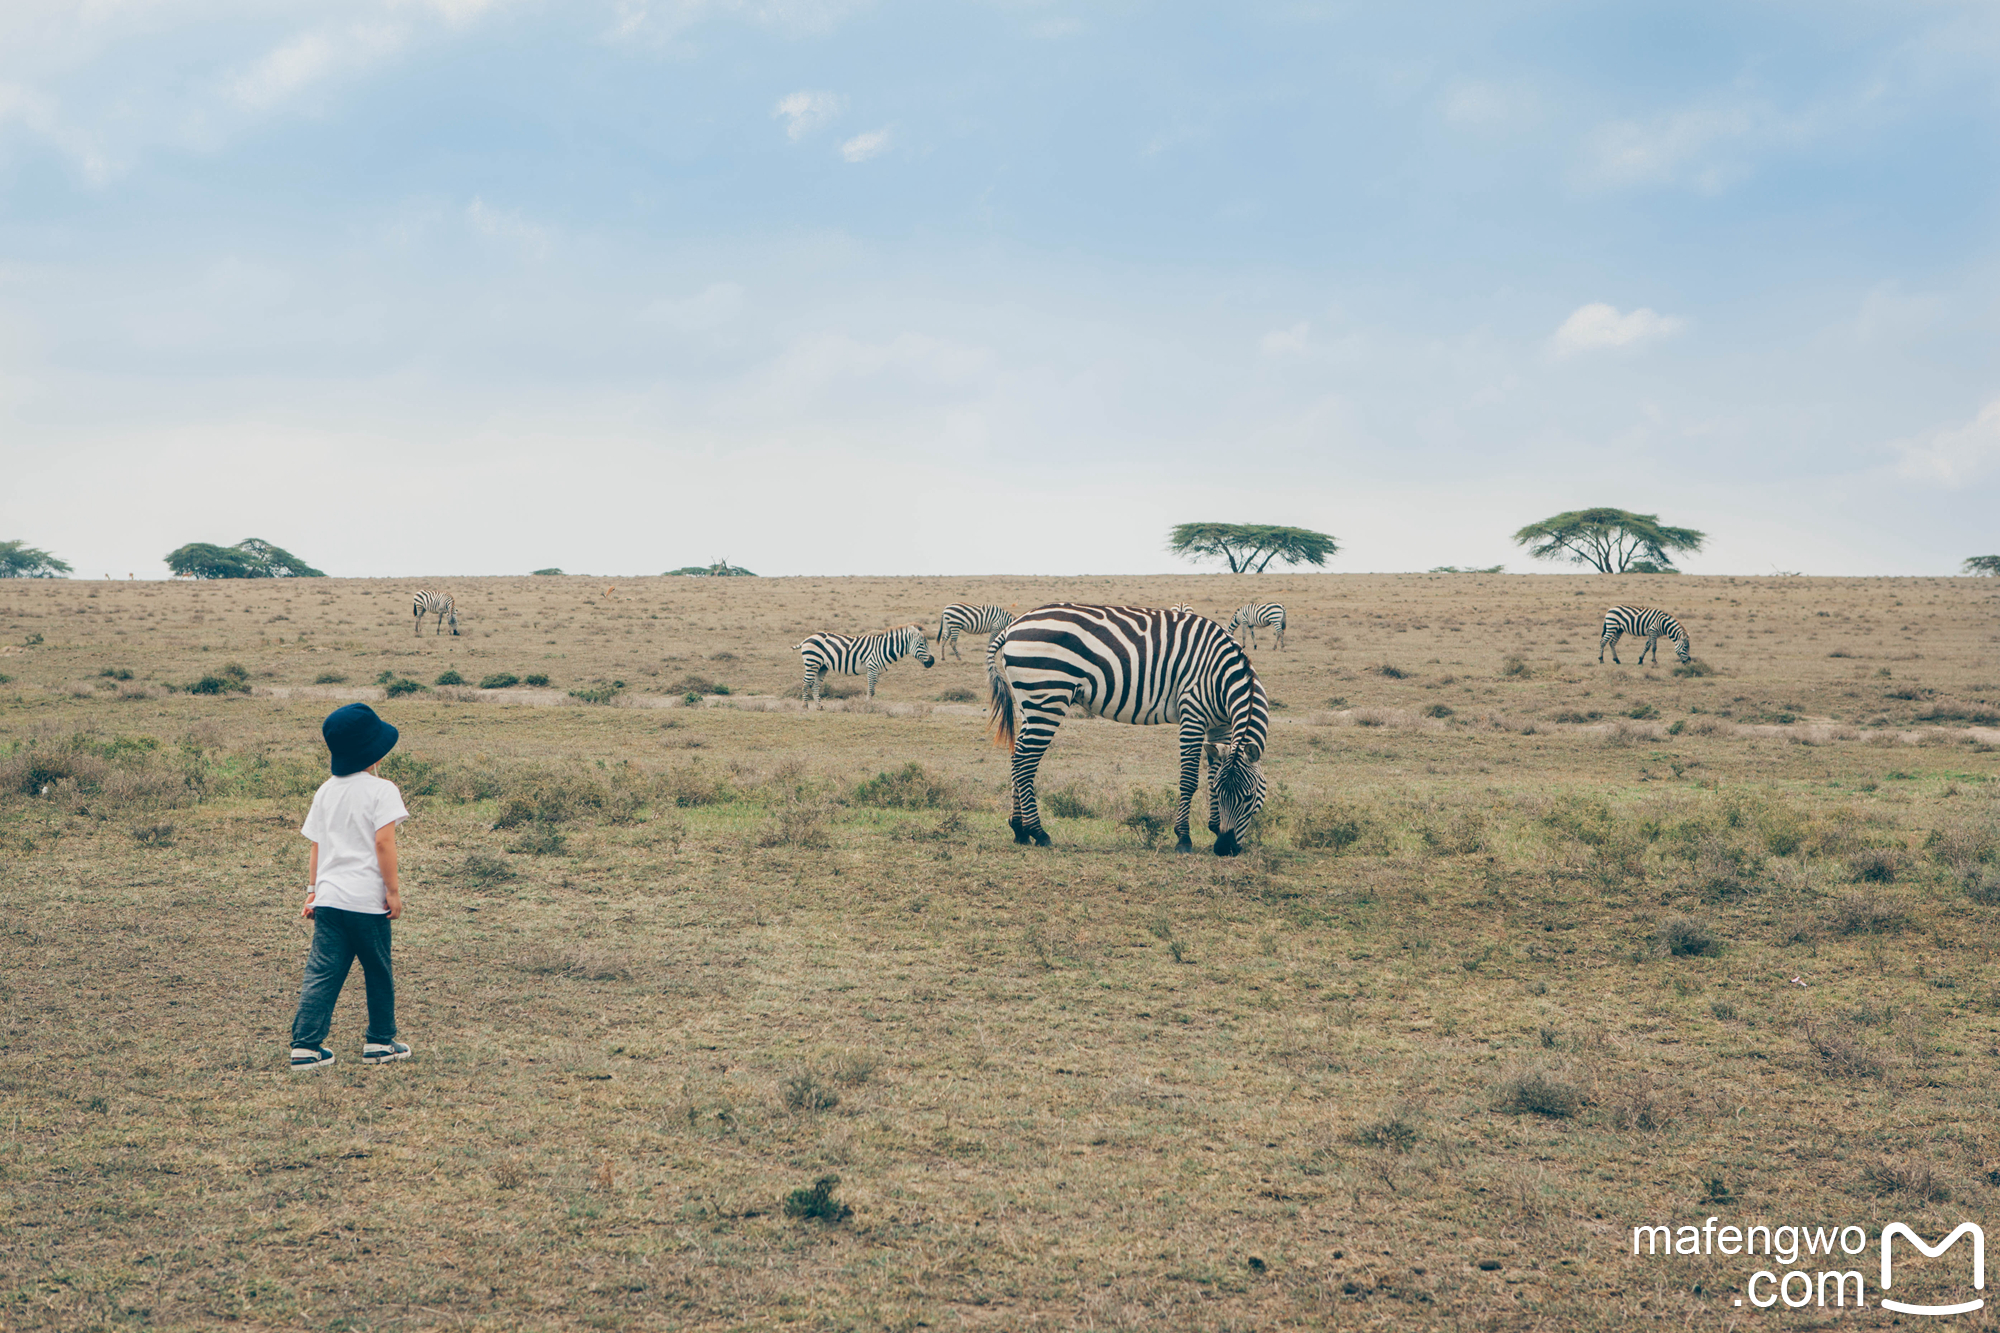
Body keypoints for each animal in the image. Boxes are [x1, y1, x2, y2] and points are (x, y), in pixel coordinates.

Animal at [792, 624, 932, 704]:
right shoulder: (872, 667)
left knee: (815, 685)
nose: (932, 661)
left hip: (822, 666)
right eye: (921, 644)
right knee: (805, 683)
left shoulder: (877, 671)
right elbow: (871, 690)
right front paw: (868, 707)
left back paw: (819, 706)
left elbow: (873, 690)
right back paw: (805, 706)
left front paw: (870, 705)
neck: (883, 648)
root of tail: (807, 638)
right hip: (812, 662)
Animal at [996, 600, 1272, 852]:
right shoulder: (1192, 714)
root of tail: (1013, 626)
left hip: (1029, 703)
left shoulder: (1220, 726)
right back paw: (1038, 832)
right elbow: (1189, 779)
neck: (1222, 677)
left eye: (1248, 796)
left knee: (1016, 755)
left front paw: (1214, 827)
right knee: (1026, 760)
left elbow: (1213, 772)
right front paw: (1183, 838)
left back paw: (1019, 829)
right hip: (1048, 697)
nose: (1225, 849)